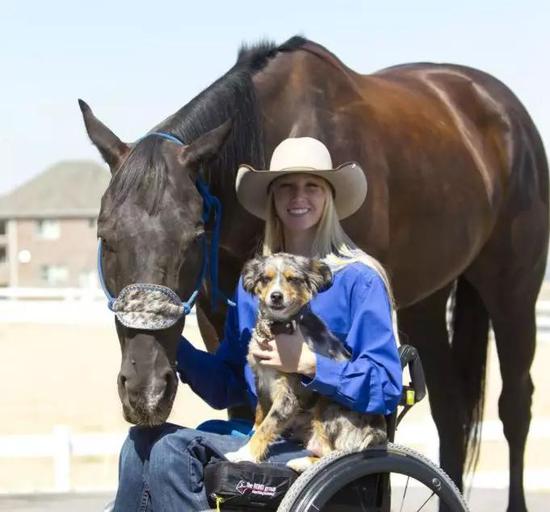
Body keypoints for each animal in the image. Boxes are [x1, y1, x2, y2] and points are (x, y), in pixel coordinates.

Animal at [225, 254, 388, 474]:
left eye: (292, 279)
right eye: (265, 279)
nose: (276, 296)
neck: (279, 327)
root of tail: (380, 433)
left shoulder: (288, 398)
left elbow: (268, 426)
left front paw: (245, 454)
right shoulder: (261, 379)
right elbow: (261, 412)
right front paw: (253, 430)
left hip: (328, 406)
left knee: (330, 453)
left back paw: (302, 462)